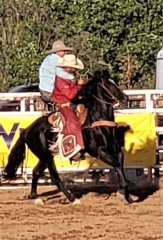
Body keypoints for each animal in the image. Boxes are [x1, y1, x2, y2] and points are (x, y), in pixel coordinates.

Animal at [2, 70, 134, 203]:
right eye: (108, 84)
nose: (125, 98)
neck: (97, 121)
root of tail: (27, 130)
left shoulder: (117, 150)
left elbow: (120, 166)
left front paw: (126, 194)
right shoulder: (99, 152)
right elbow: (117, 165)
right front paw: (125, 194)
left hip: (45, 156)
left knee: (36, 171)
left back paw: (35, 197)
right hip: (46, 157)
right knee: (54, 177)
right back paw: (71, 198)